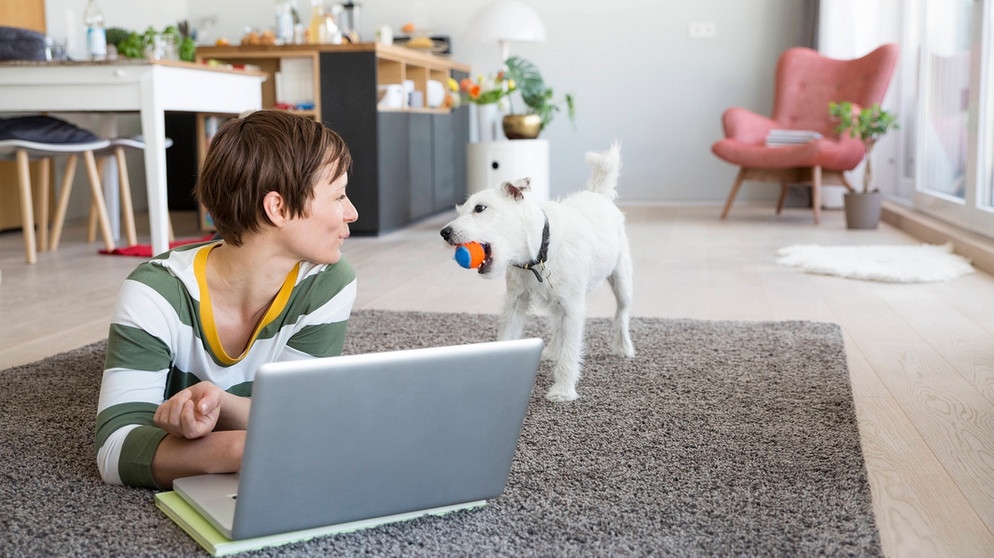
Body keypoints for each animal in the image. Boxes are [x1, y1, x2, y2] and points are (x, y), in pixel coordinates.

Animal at [438, 142, 632, 400]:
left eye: (480, 208)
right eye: (460, 211)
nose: (444, 232)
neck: (537, 252)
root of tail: (598, 195)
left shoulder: (573, 307)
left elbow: (570, 351)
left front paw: (563, 390)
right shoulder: (514, 304)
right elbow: (508, 335)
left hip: (622, 280)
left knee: (621, 313)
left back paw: (623, 347)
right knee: (558, 325)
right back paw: (551, 350)